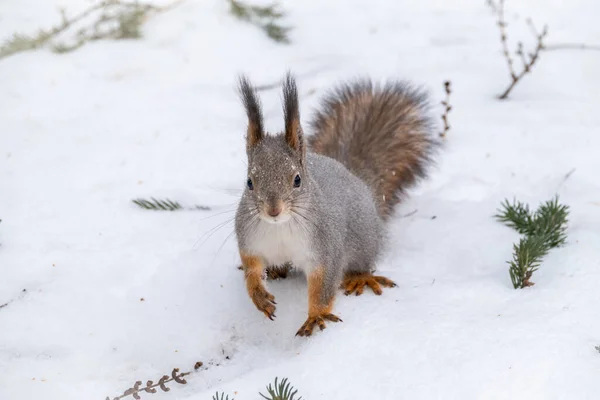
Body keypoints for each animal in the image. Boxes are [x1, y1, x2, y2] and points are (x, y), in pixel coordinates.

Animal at [233, 72, 436, 338]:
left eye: (297, 179)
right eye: (249, 182)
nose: (273, 210)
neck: (280, 227)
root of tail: (355, 178)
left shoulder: (325, 249)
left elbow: (324, 284)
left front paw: (316, 315)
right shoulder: (250, 242)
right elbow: (252, 271)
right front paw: (259, 296)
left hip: (363, 238)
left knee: (361, 262)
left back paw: (361, 277)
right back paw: (276, 270)